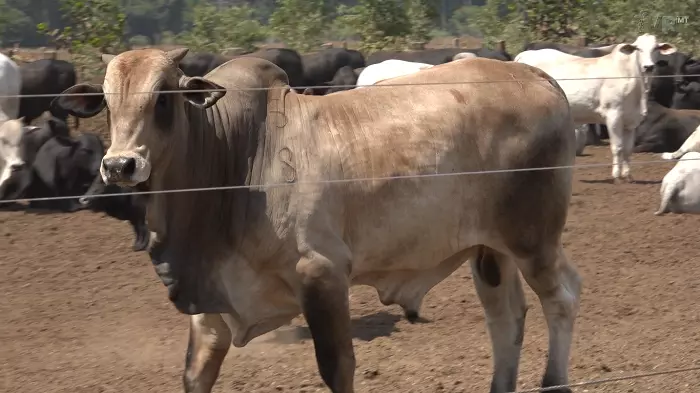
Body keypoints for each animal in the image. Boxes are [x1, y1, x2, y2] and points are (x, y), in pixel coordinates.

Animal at [52, 48, 584, 392]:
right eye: (106, 101)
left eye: (163, 97)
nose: (120, 165)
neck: (238, 157)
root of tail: (534, 74)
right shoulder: (212, 293)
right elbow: (196, 371)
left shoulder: (322, 274)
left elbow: (337, 367)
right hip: (489, 249)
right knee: (506, 318)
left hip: (533, 239)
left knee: (561, 298)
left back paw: (554, 381)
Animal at [516, 34, 680, 181]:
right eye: (638, 48)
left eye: (656, 48)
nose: (649, 66)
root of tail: (522, 56)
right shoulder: (613, 115)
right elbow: (617, 147)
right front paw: (616, 175)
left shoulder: (631, 121)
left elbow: (628, 149)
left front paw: (627, 175)